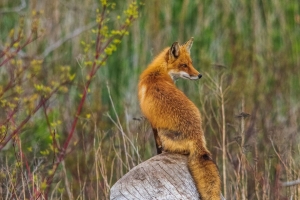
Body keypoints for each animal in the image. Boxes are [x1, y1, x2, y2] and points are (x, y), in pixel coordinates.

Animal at [138, 38, 220, 200]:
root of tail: (196, 137)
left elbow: (158, 147)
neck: (157, 74)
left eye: (190, 63)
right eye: (184, 65)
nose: (199, 75)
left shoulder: (153, 124)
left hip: (165, 134)